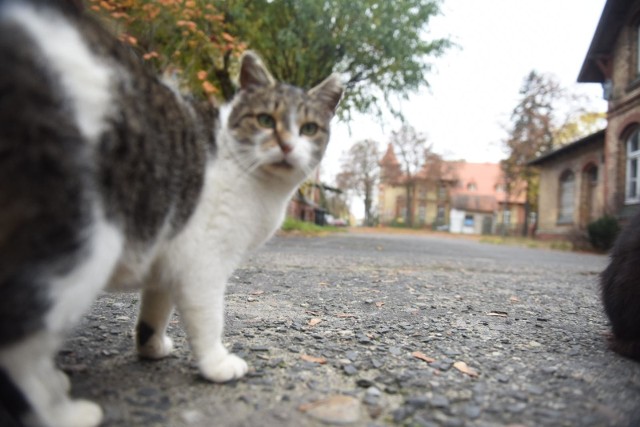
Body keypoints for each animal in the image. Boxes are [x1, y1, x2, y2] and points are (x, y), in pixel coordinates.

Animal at [0, 1, 344, 426]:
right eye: (266, 120)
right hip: (79, 243)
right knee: (19, 346)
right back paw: (62, 411)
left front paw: (151, 348)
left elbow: (155, 311)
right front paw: (216, 364)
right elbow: (209, 318)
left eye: (310, 128)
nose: (287, 145)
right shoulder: (204, 263)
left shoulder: (167, 256)